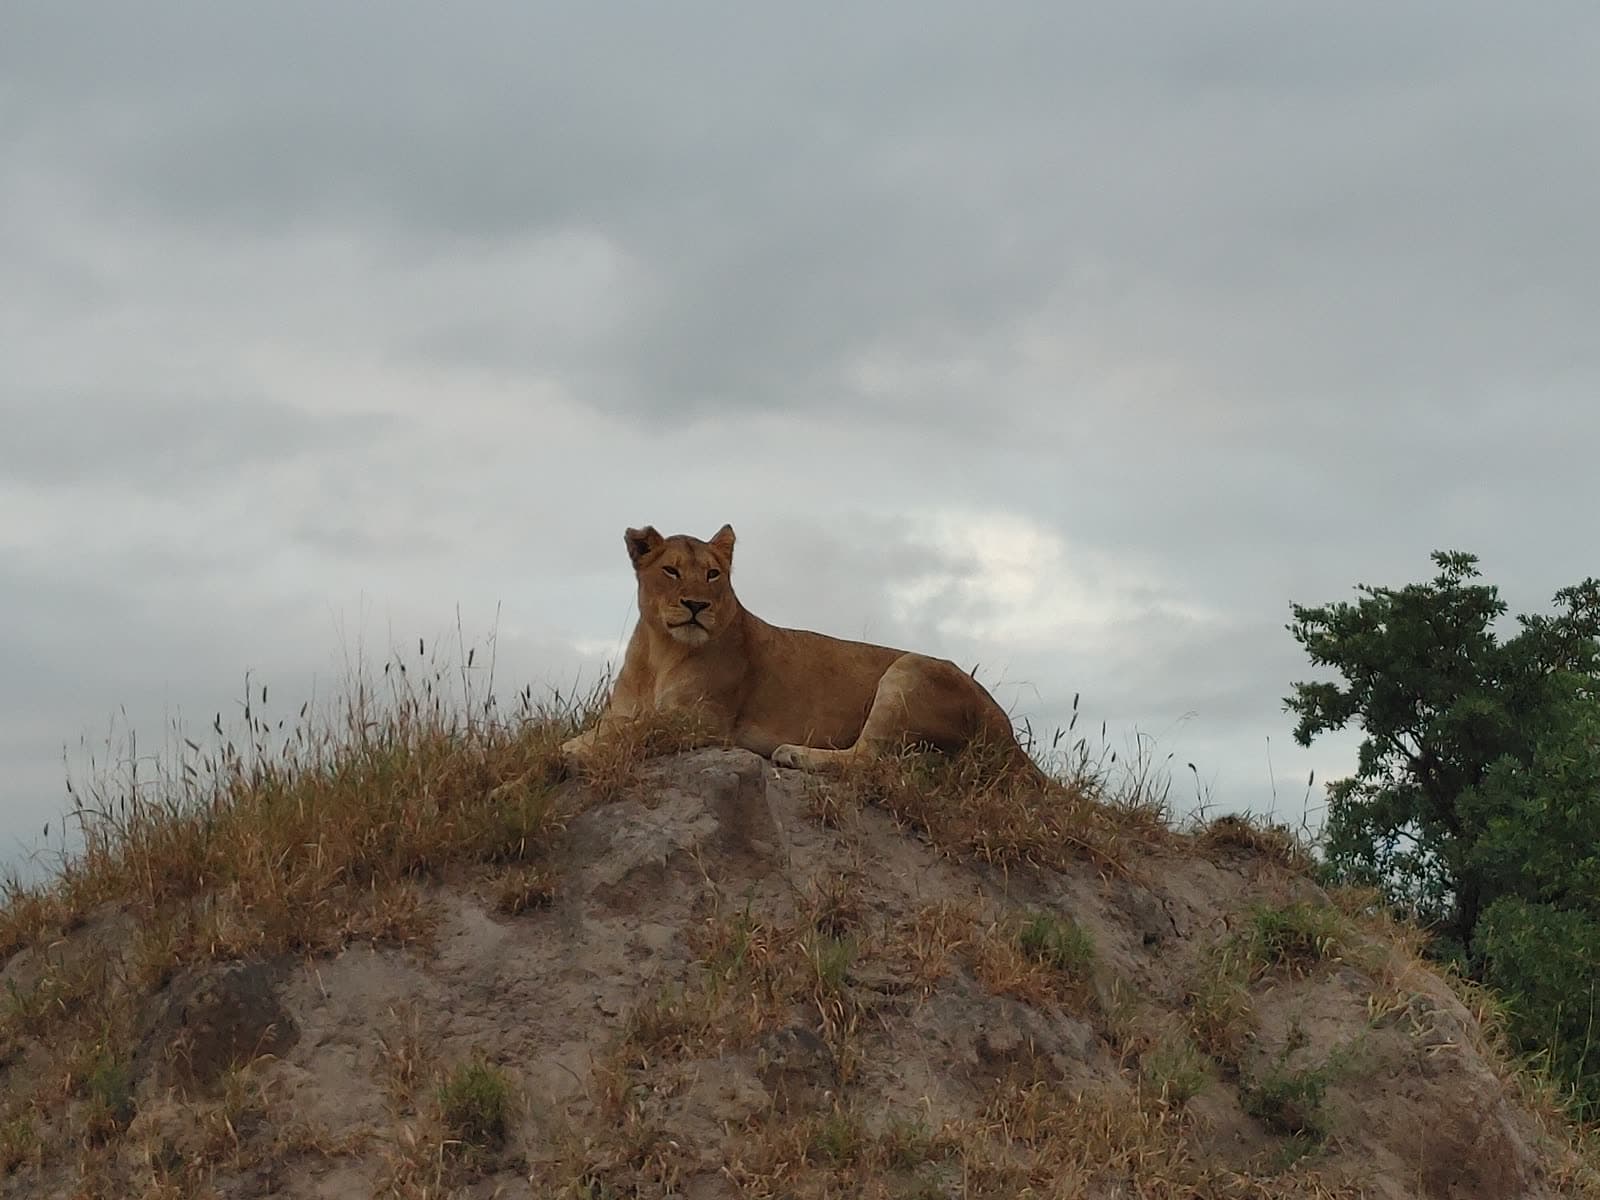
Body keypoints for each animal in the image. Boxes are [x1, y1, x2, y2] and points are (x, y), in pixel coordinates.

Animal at [560, 523, 1042, 780]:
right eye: (671, 571)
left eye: (713, 574)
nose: (697, 605)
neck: (660, 651)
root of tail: (1008, 734)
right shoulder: (624, 711)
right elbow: (611, 728)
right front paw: (571, 747)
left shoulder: (701, 720)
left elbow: (631, 733)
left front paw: (568, 753)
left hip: (910, 671)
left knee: (868, 759)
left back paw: (794, 753)